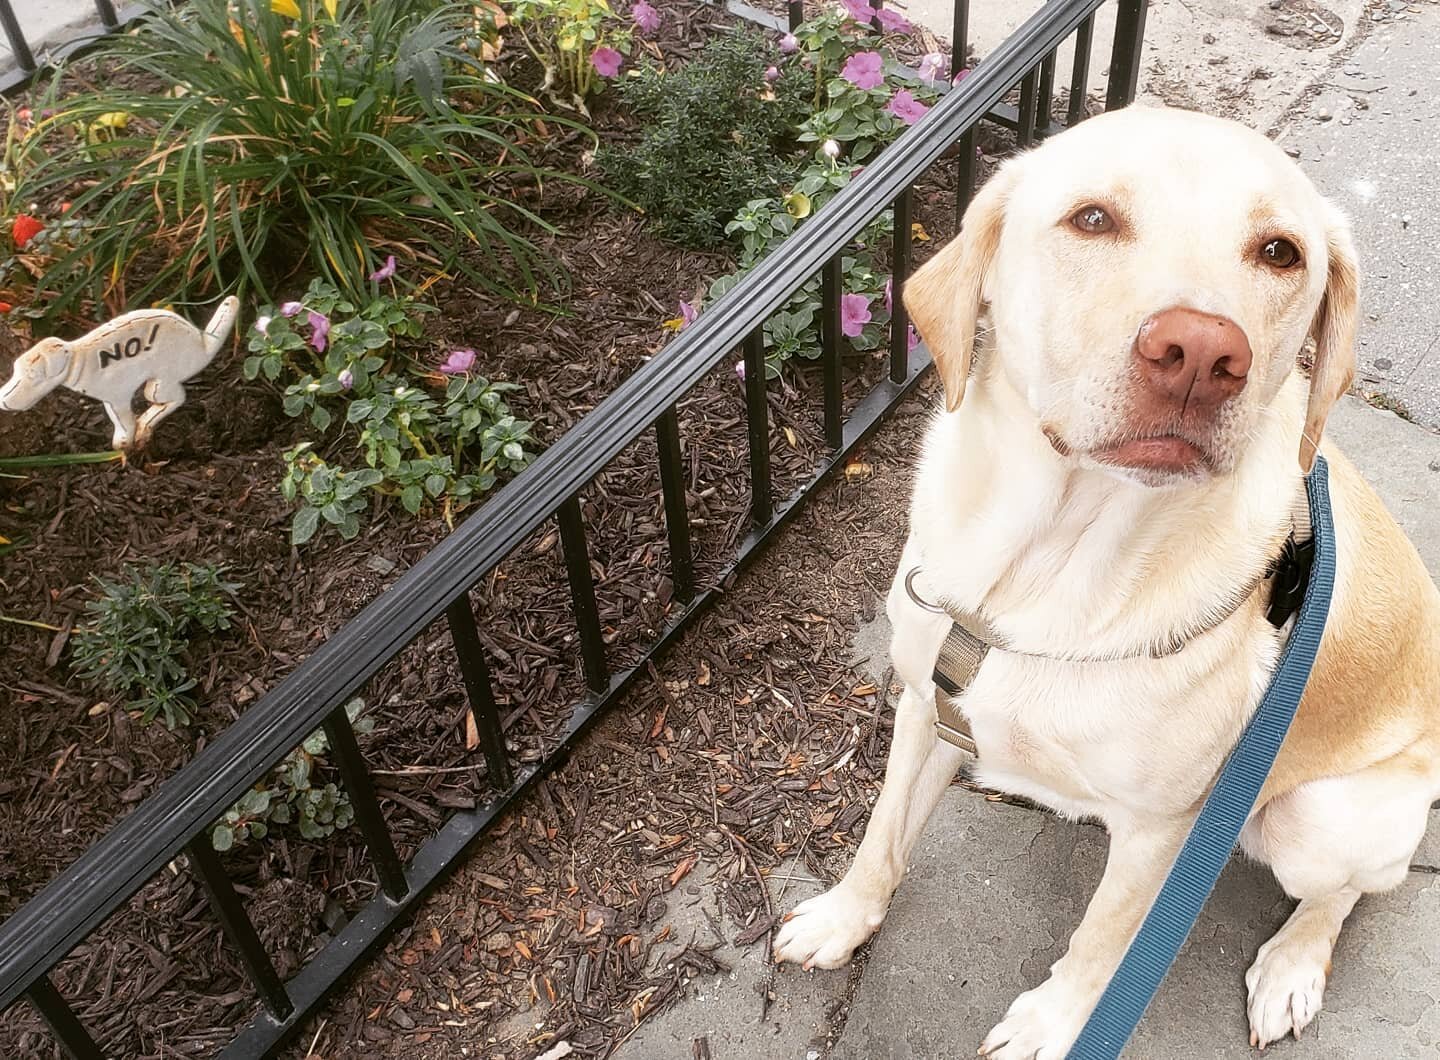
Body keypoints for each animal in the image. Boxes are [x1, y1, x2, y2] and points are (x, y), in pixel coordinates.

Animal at [783, 105, 1440, 1054]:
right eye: (1092, 219)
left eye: (1281, 252)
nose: (1201, 352)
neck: (1048, 565)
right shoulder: (922, 706)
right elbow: (881, 836)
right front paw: (843, 917)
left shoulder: (1161, 833)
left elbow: (1103, 942)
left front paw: (1053, 1024)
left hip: (1318, 818)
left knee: (1347, 892)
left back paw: (1292, 967)